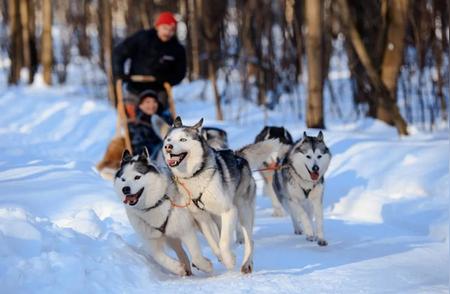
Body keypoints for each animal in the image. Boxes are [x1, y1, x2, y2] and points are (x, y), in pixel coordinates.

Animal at [162, 116, 282, 274]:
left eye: (183, 139)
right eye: (168, 140)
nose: (168, 147)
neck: (196, 175)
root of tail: (238, 156)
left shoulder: (229, 211)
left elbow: (223, 242)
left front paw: (229, 261)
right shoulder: (202, 219)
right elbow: (214, 242)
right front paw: (218, 258)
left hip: (243, 210)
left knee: (249, 240)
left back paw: (247, 264)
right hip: (218, 218)